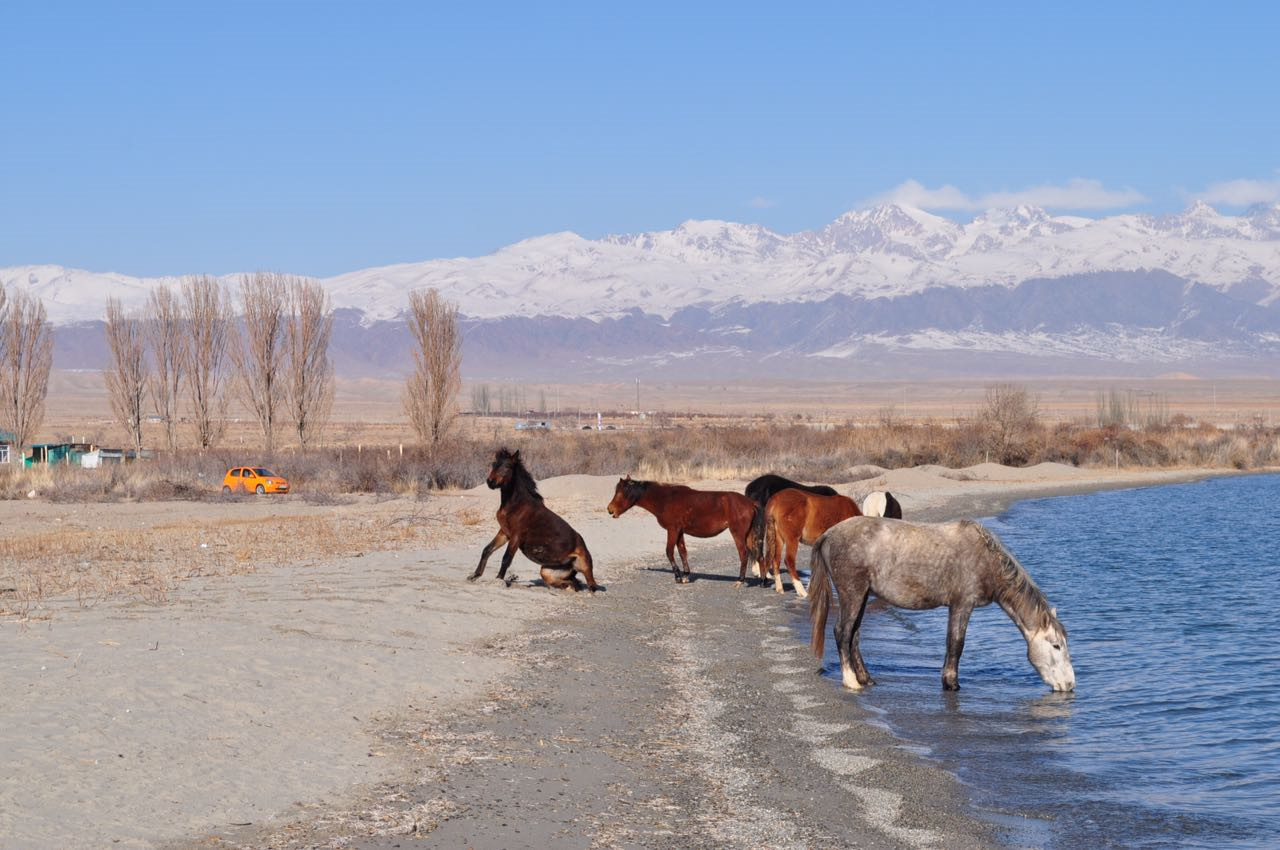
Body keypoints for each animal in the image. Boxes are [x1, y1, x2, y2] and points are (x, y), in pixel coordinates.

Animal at [465, 448, 599, 593]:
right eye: (494, 464)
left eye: (508, 466)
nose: (491, 482)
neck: (516, 504)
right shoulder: (504, 533)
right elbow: (487, 550)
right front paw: (474, 575)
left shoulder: (516, 536)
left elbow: (506, 558)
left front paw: (499, 580)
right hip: (546, 571)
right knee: (572, 583)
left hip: (584, 566)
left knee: (591, 585)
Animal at [609, 473, 757, 588]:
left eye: (622, 492)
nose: (610, 509)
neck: (666, 499)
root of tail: (750, 503)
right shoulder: (679, 532)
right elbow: (682, 552)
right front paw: (686, 575)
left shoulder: (672, 530)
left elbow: (669, 552)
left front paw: (678, 576)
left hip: (738, 534)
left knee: (744, 554)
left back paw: (740, 581)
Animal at [808, 517, 1070, 691]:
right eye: (1056, 646)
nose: (1069, 684)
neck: (985, 559)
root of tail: (829, 534)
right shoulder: (962, 604)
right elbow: (956, 644)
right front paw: (952, 684)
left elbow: (951, 644)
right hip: (852, 593)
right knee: (842, 632)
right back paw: (851, 681)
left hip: (861, 596)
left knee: (854, 635)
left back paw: (866, 678)